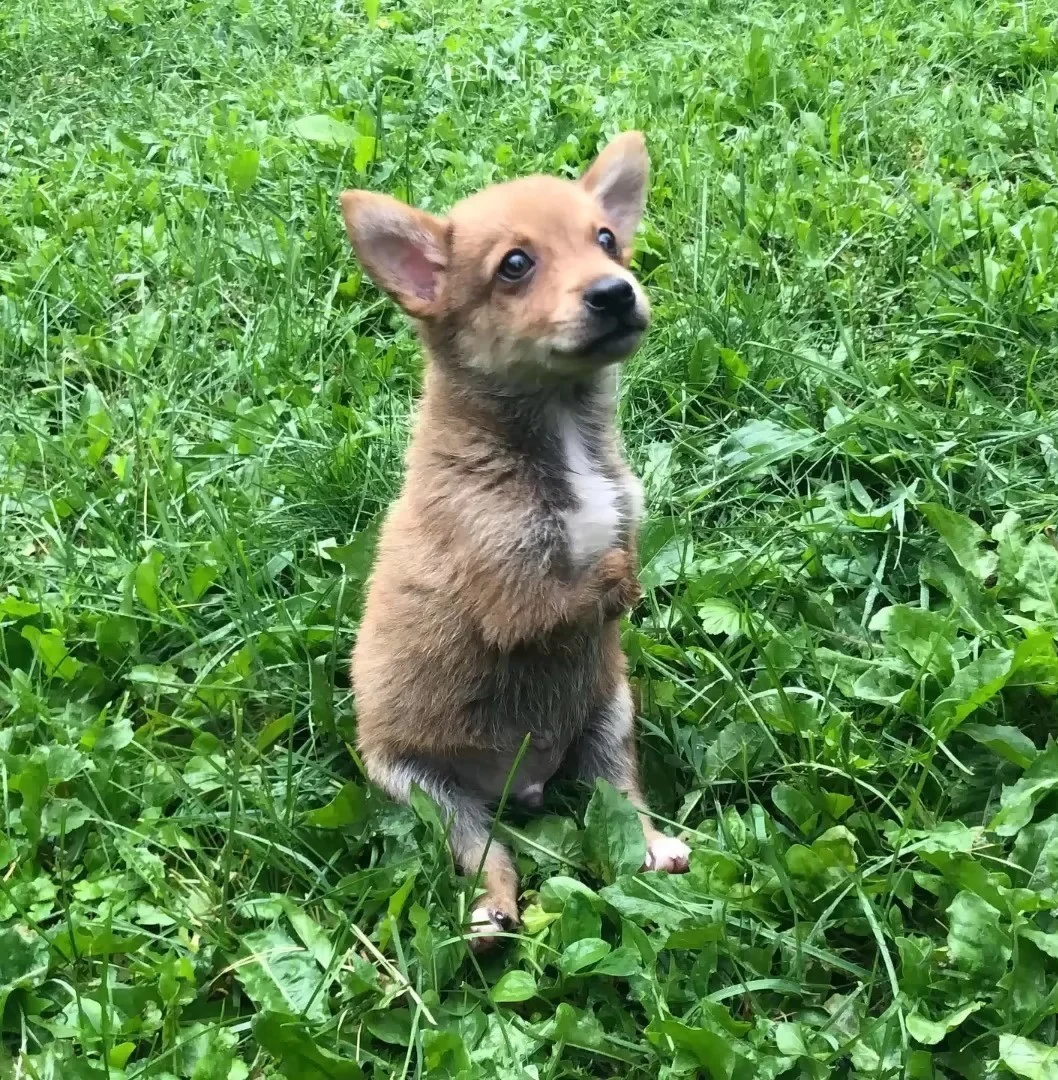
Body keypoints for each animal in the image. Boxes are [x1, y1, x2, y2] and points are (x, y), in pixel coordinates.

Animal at [341, 132, 695, 946]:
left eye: (607, 241)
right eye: (515, 265)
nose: (615, 292)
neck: (562, 433)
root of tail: (522, 787)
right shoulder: (511, 597)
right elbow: (585, 589)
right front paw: (618, 580)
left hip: (609, 719)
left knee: (621, 802)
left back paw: (654, 848)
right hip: (429, 794)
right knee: (489, 855)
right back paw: (493, 916)